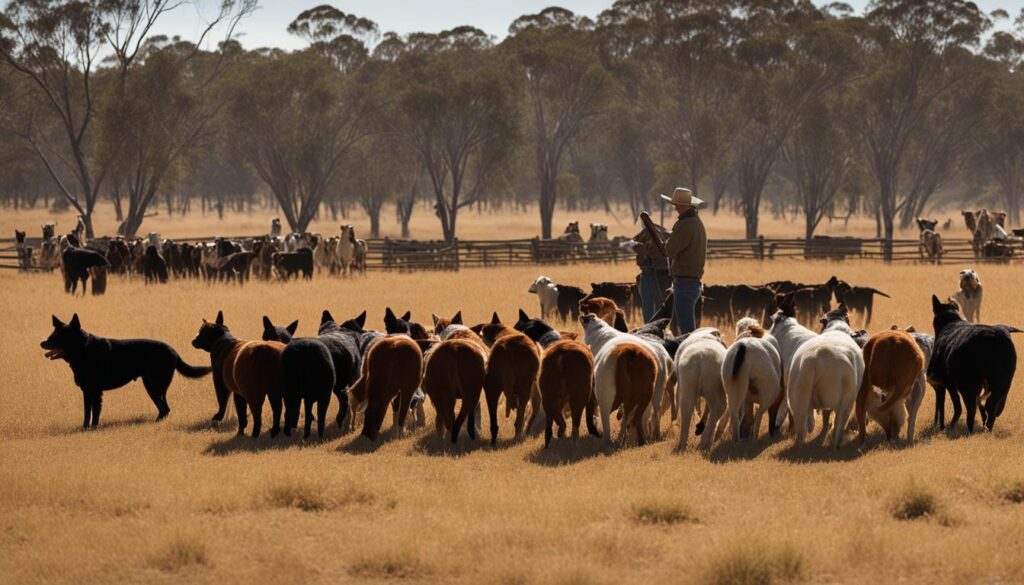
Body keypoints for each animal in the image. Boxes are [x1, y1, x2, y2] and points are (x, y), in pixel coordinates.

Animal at [40, 313, 212, 428]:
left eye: (57, 336)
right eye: (52, 334)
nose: (41, 342)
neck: (84, 349)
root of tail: (173, 351)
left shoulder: (95, 392)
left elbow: (95, 414)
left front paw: (93, 428)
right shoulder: (87, 391)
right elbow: (86, 414)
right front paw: (84, 428)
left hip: (152, 385)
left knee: (164, 408)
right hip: (158, 387)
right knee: (165, 408)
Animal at [929, 295, 1015, 432]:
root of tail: (990, 337)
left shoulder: (947, 382)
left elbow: (956, 406)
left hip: (968, 384)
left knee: (971, 410)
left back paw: (969, 430)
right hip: (1002, 382)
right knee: (991, 406)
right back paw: (986, 428)